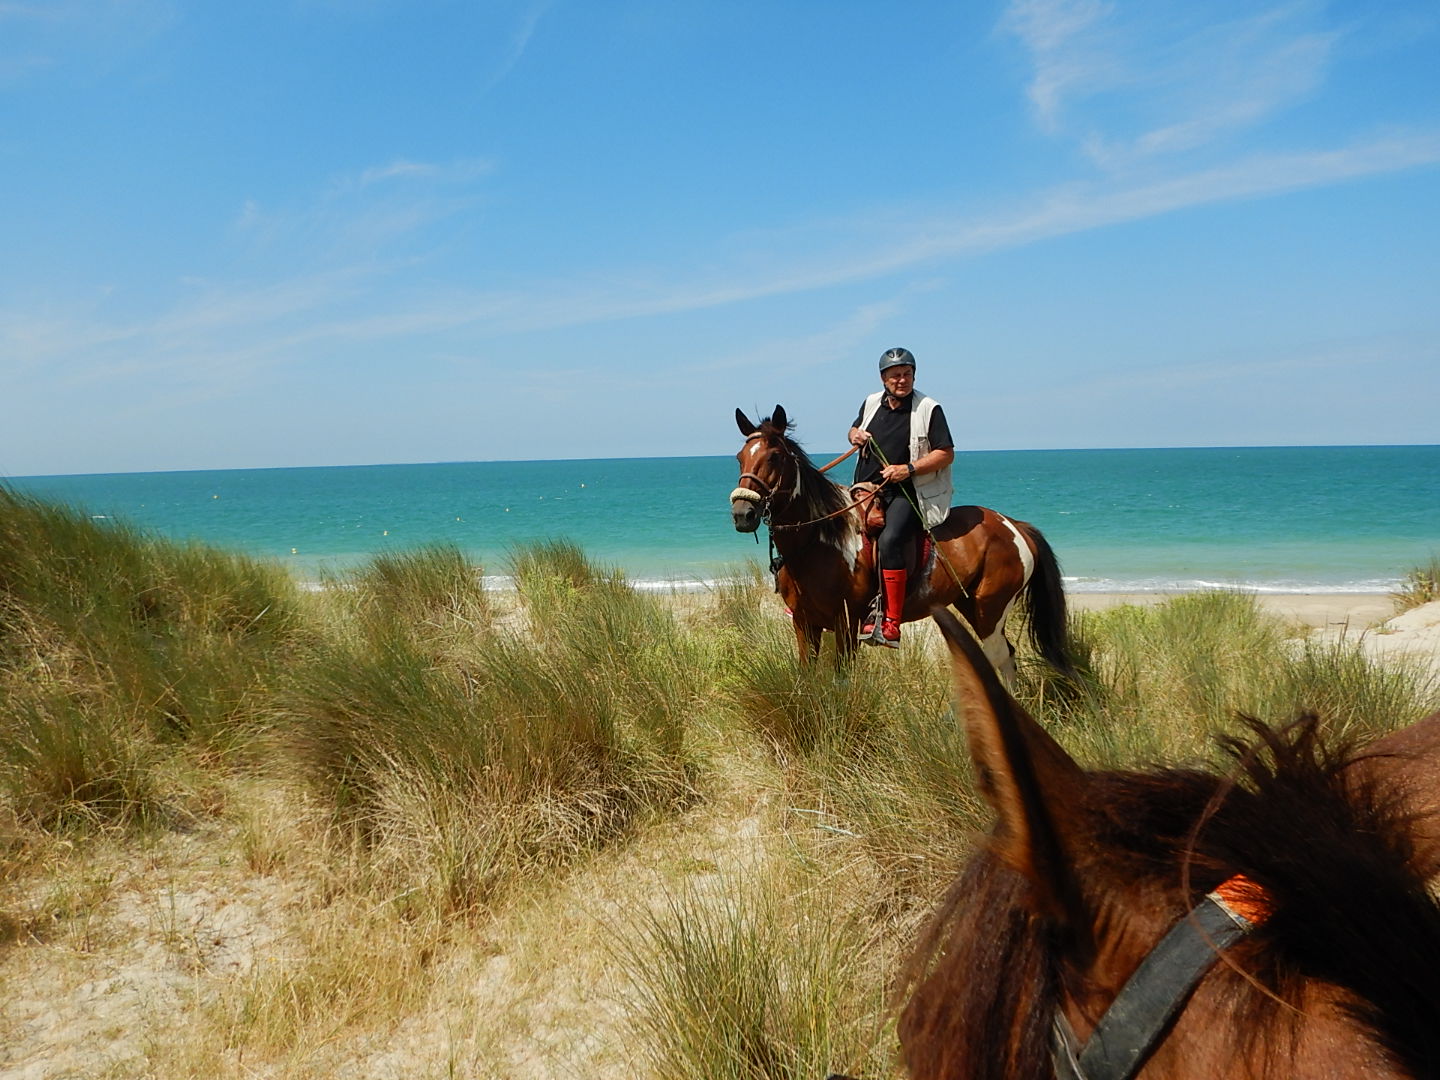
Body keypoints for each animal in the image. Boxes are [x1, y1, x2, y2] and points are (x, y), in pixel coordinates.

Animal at [730, 405, 1074, 680]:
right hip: (971, 605)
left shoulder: (846, 625)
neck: (819, 543)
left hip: (991, 609)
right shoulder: (805, 624)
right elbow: (807, 677)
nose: (743, 513)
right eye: (739, 458)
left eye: (775, 456)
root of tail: (1014, 526)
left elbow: (841, 679)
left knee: (999, 659)